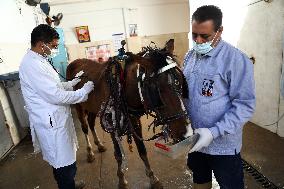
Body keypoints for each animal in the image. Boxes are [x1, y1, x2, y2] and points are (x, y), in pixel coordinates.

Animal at [67, 39, 190, 188]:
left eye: (180, 80)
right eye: (158, 89)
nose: (185, 131)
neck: (122, 87)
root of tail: (74, 62)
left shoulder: (134, 120)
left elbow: (142, 150)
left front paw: (152, 177)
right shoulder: (111, 124)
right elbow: (119, 155)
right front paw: (121, 179)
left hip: (93, 108)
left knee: (91, 123)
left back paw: (99, 145)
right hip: (78, 106)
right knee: (85, 127)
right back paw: (90, 152)